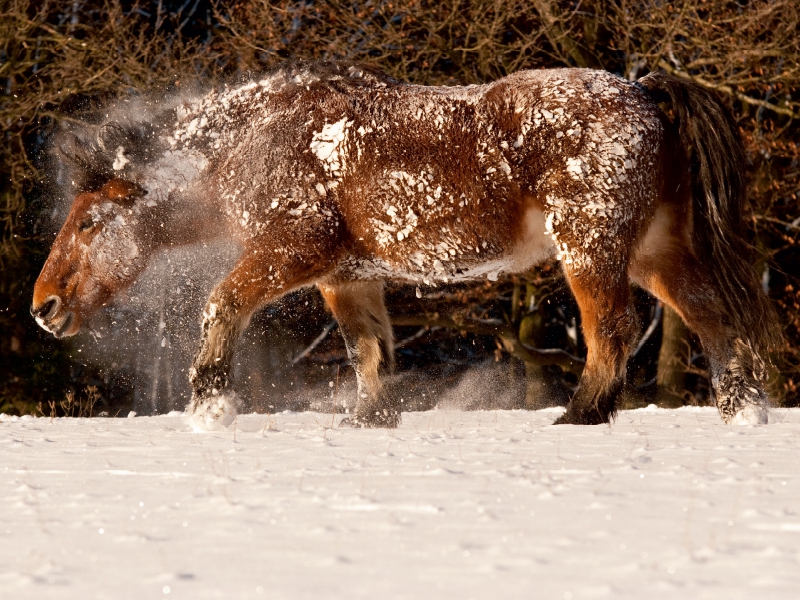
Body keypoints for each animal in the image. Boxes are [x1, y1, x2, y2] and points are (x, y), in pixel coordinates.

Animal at [32, 61, 780, 428]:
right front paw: (370, 419)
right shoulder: (346, 276)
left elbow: (221, 303)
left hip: (592, 249)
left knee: (614, 332)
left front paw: (210, 404)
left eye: (88, 223)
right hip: (657, 253)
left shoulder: (291, 254)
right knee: (715, 319)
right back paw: (743, 411)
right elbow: (369, 351)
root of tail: (646, 93)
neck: (259, 140)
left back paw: (581, 414)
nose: (43, 307)